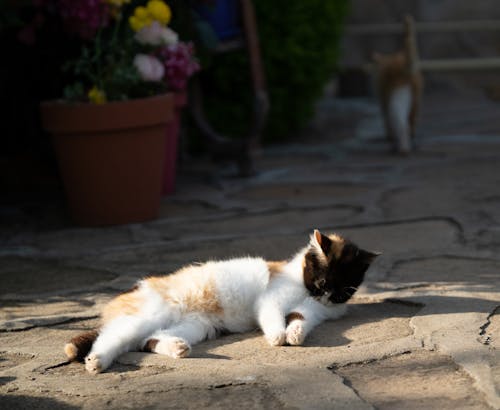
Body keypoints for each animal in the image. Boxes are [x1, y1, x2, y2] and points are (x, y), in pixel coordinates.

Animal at [65, 229, 378, 374]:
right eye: (323, 281)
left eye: (343, 290)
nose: (325, 296)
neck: (302, 285)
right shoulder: (271, 298)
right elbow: (273, 316)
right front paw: (278, 336)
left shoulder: (311, 312)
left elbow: (300, 318)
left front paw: (296, 334)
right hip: (153, 313)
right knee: (114, 336)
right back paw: (97, 361)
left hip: (197, 326)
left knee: (148, 340)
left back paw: (177, 348)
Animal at [374, 15, 424, 155]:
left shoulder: (383, 98)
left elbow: (386, 120)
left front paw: (389, 137)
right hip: (414, 96)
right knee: (408, 121)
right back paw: (407, 144)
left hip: (394, 95)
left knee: (400, 122)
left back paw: (401, 147)